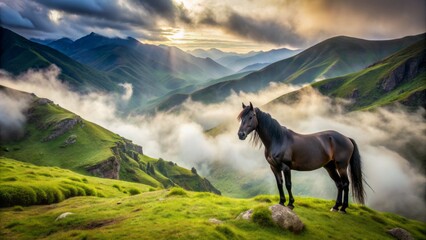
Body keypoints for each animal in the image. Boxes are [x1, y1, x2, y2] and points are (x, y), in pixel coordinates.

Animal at [236, 101, 366, 212]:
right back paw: (335, 207)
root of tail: (347, 138)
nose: (240, 134)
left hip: (342, 166)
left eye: (251, 116)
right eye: (241, 118)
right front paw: (281, 202)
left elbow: (288, 185)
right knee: (339, 184)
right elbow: (279, 184)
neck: (278, 140)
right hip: (330, 167)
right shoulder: (274, 167)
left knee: (345, 184)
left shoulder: (286, 167)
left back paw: (343, 208)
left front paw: (290, 204)